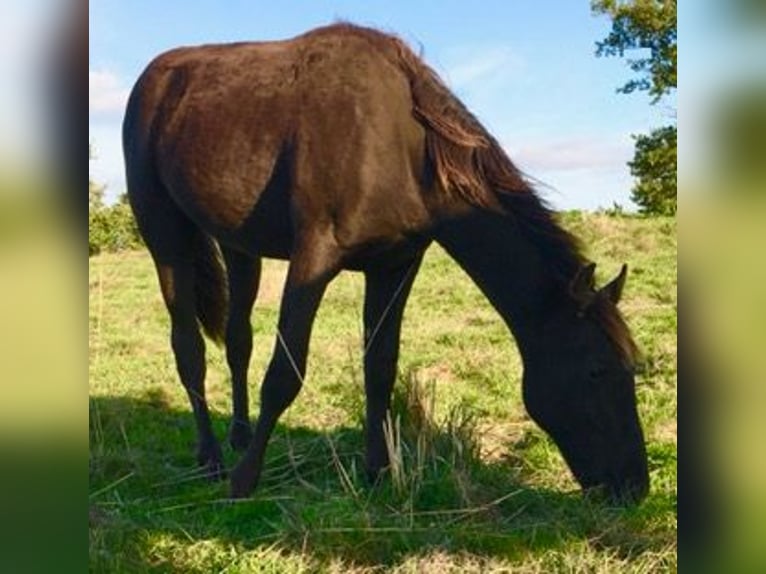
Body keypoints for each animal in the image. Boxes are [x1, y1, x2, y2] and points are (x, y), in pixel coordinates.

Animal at [123, 23, 649, 504]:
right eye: (597, 371)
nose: (634, 487)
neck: (402, 150)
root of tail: (154, 76)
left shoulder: (395, 266)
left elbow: (380, 367)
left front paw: (377, 471)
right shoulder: (314, 257)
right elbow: (284, 373)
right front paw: (244, 481)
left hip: (239, 246)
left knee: (237, 341)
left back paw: (238, 435)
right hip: (164, 235)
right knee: (188, 347)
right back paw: (212, 457)